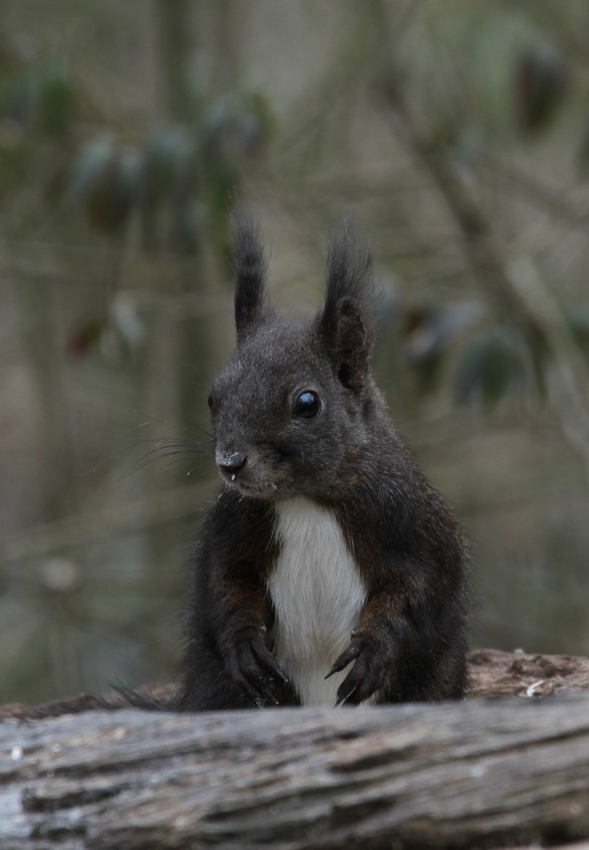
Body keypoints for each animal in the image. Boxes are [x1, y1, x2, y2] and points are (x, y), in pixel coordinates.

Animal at [179, 214, 468, 708]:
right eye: (213, 397)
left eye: (307, 403)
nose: (230, 461)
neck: (306, 501)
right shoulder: (229, 529)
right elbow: (226, 584)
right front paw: (244, 645)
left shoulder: (411, 526)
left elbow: (413, 593)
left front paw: (373, 650)